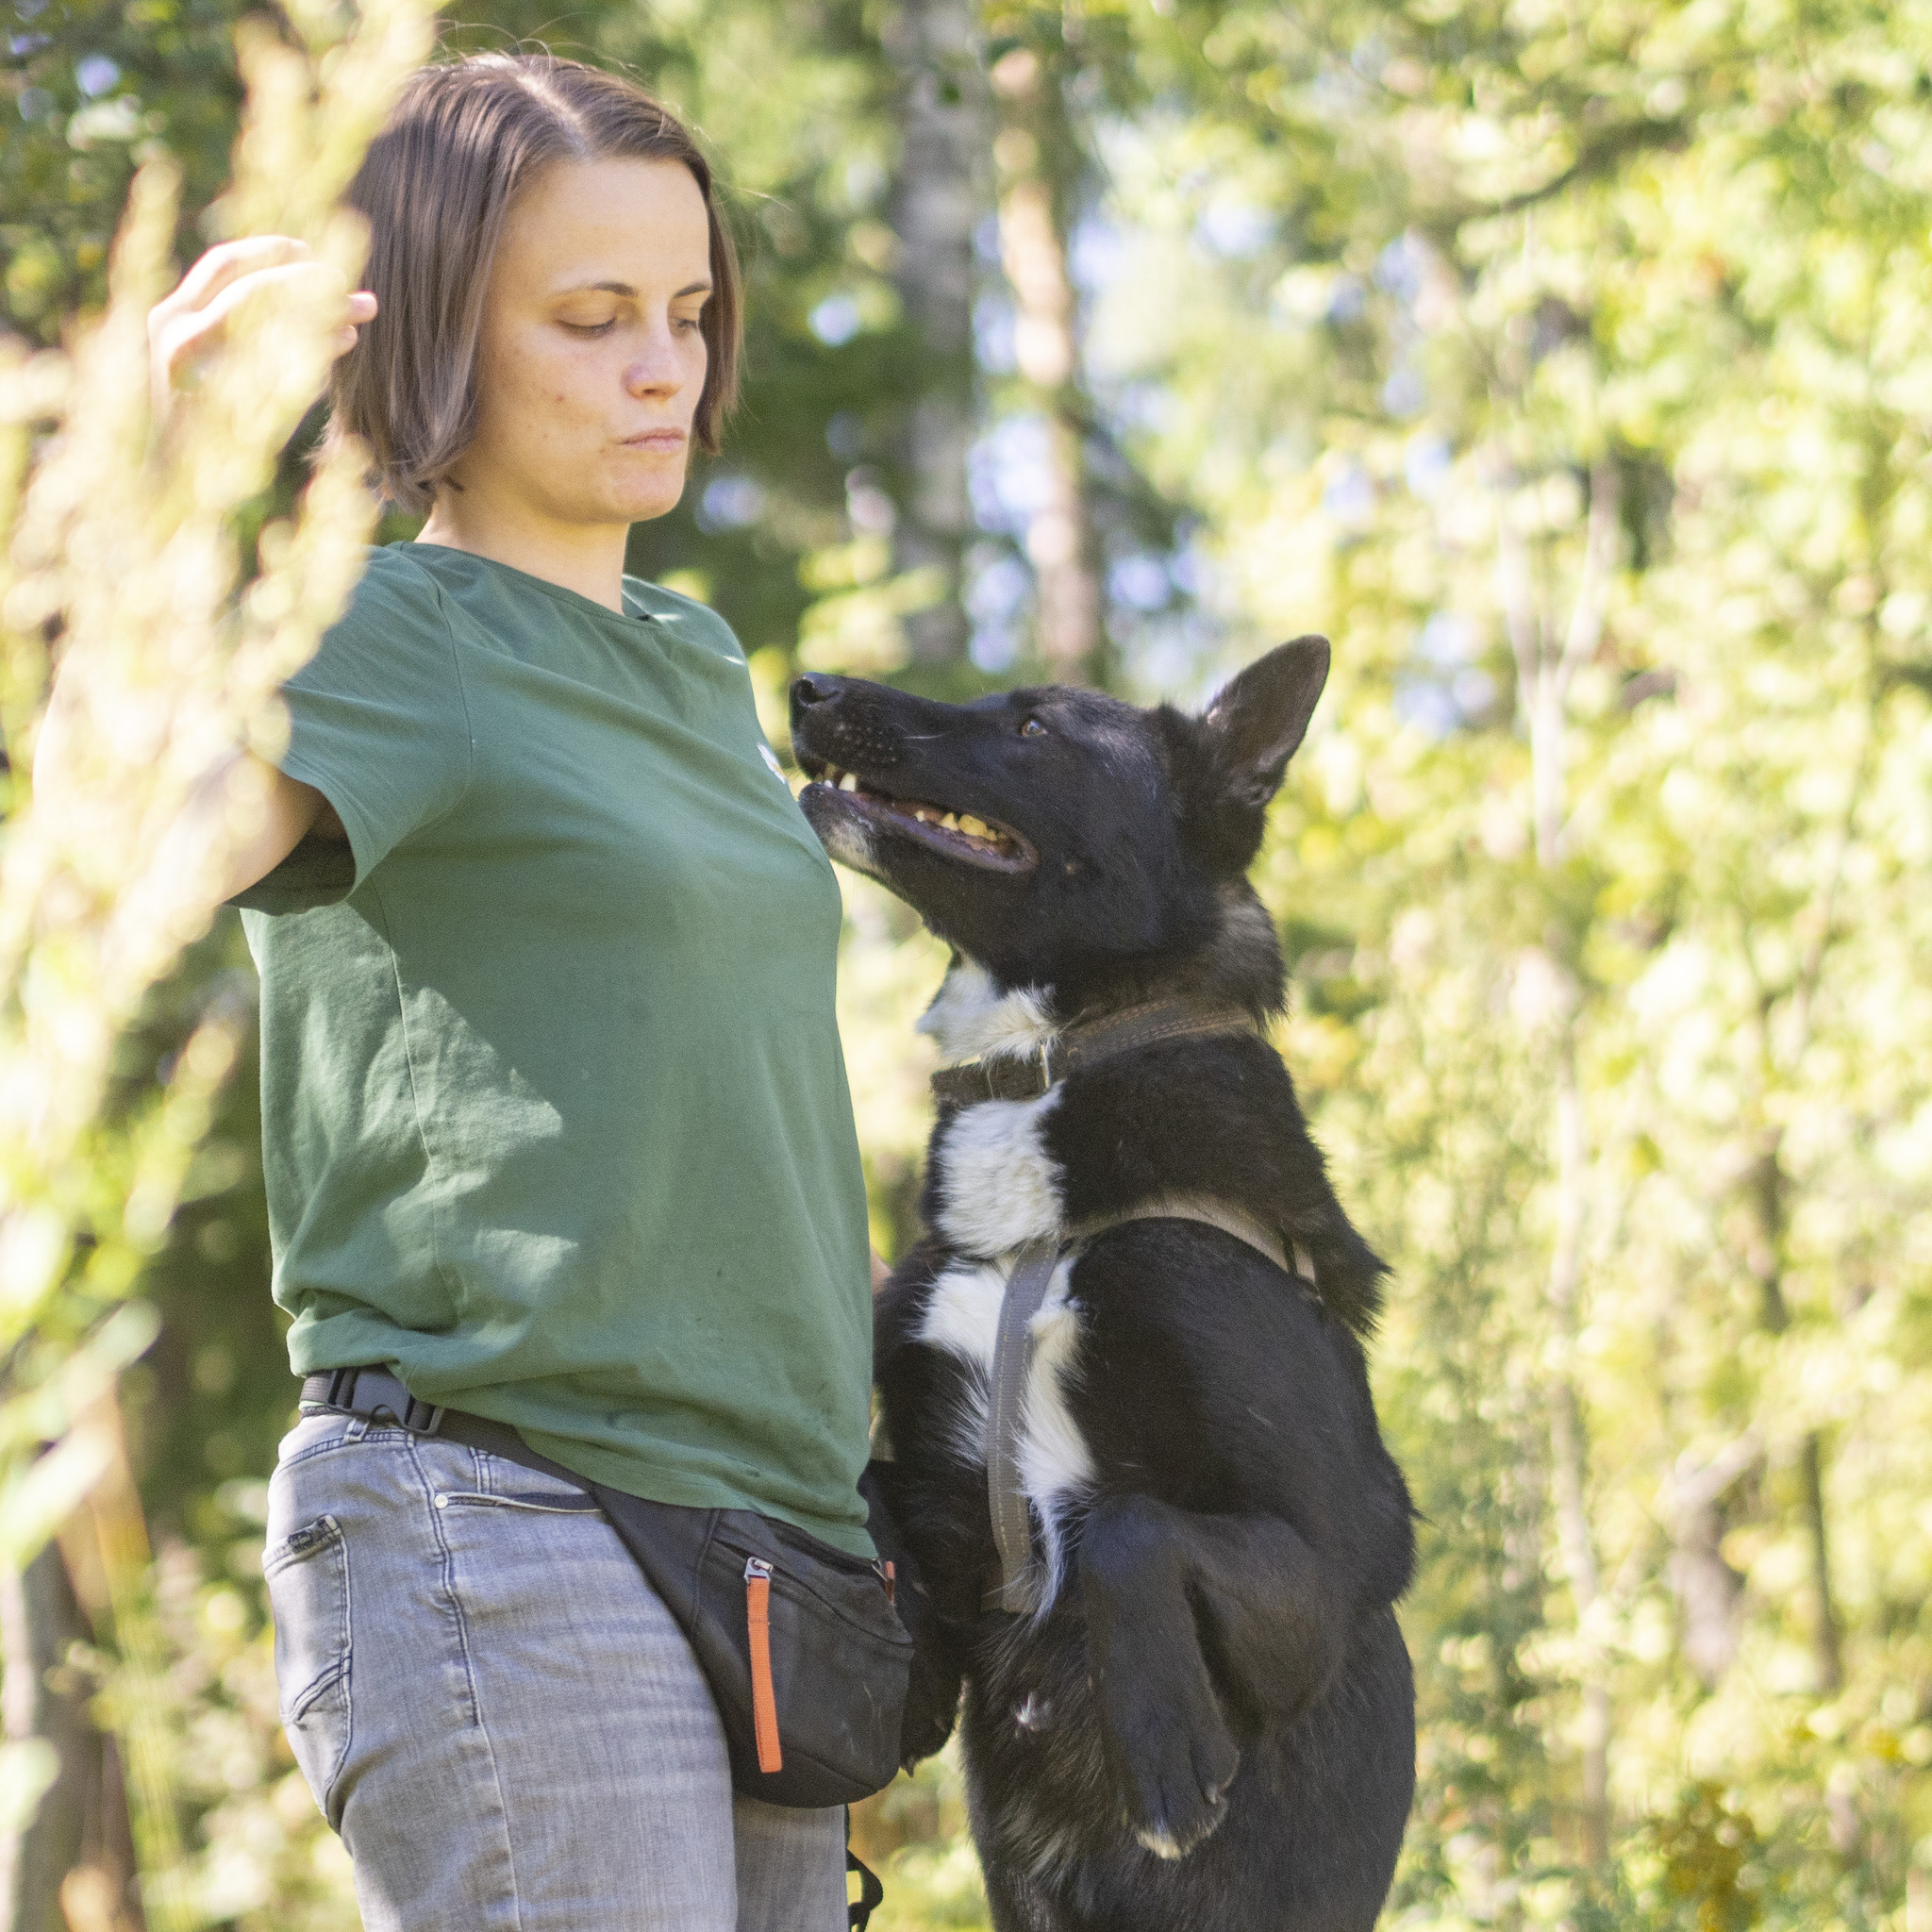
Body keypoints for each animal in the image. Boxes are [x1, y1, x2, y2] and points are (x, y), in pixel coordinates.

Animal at [791, 645, 1414, 1932]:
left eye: (1034, 727)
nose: (809, 689)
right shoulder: (950, 1496)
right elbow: (870, 1487)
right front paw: (907, 1672)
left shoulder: (1325, 1578)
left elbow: (1128, 1524)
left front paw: (1165, 1747)